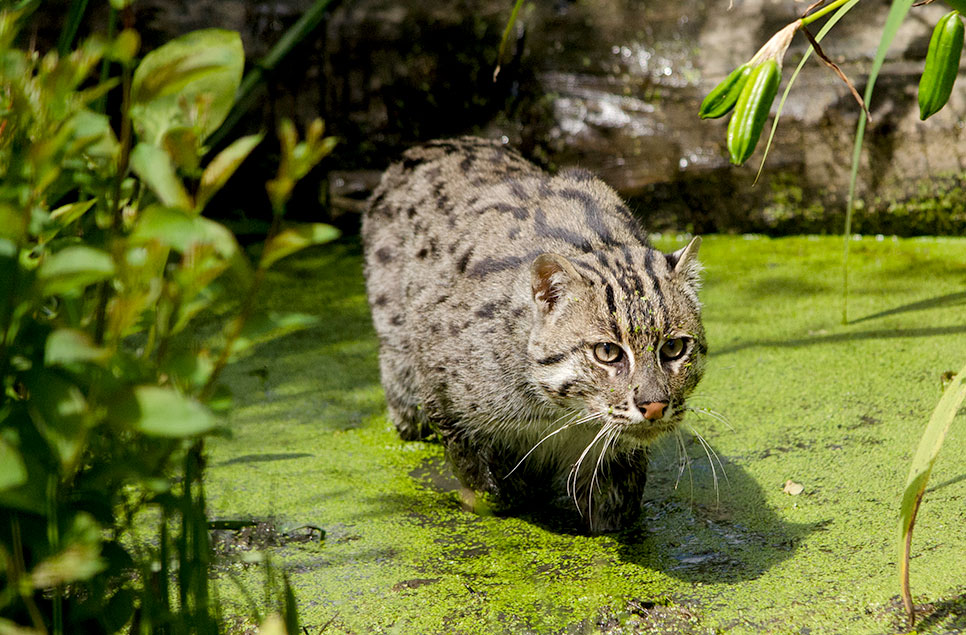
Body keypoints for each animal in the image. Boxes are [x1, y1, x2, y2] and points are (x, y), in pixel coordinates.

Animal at [364, 138, 712, 532]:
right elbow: (487, 486)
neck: (563, 414)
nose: (654, 405)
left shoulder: (615, 457)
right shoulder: (446, 405)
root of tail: (429, 145)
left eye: (674, 347)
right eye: (607, 351)